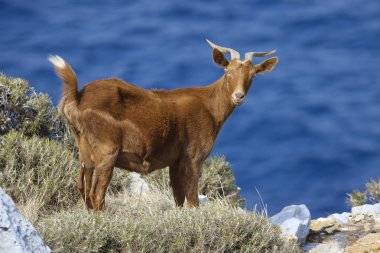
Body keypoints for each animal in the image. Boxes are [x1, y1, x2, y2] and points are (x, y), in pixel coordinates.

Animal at [49, 39, 278, 210]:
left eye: (252, 76)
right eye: (228, 72)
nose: (238, 96)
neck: (210, 106)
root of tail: (78, 98)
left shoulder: (174, 161)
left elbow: (179, 200)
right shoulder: (193, 158)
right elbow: (193, 201)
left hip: (84, 150)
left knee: (83, 187)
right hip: (107, 151)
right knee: (97, 194)